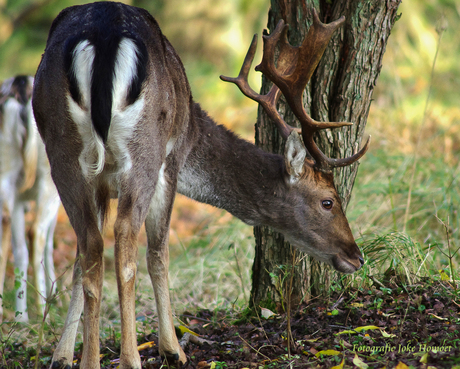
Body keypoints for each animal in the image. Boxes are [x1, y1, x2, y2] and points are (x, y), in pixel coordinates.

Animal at [32, 1, 368, 366]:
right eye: (328, 200)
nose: (357, 257)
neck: (193, 132)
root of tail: (103, 37)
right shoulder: (171, 161)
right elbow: (158, 254)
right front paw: (172, 348)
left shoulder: (101, 185)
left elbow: (81, 262)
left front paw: (62, 355)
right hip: (145, 151)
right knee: (126, 245)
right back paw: (134, 358)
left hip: (62, 152)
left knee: (91, 246)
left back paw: (89, 360)